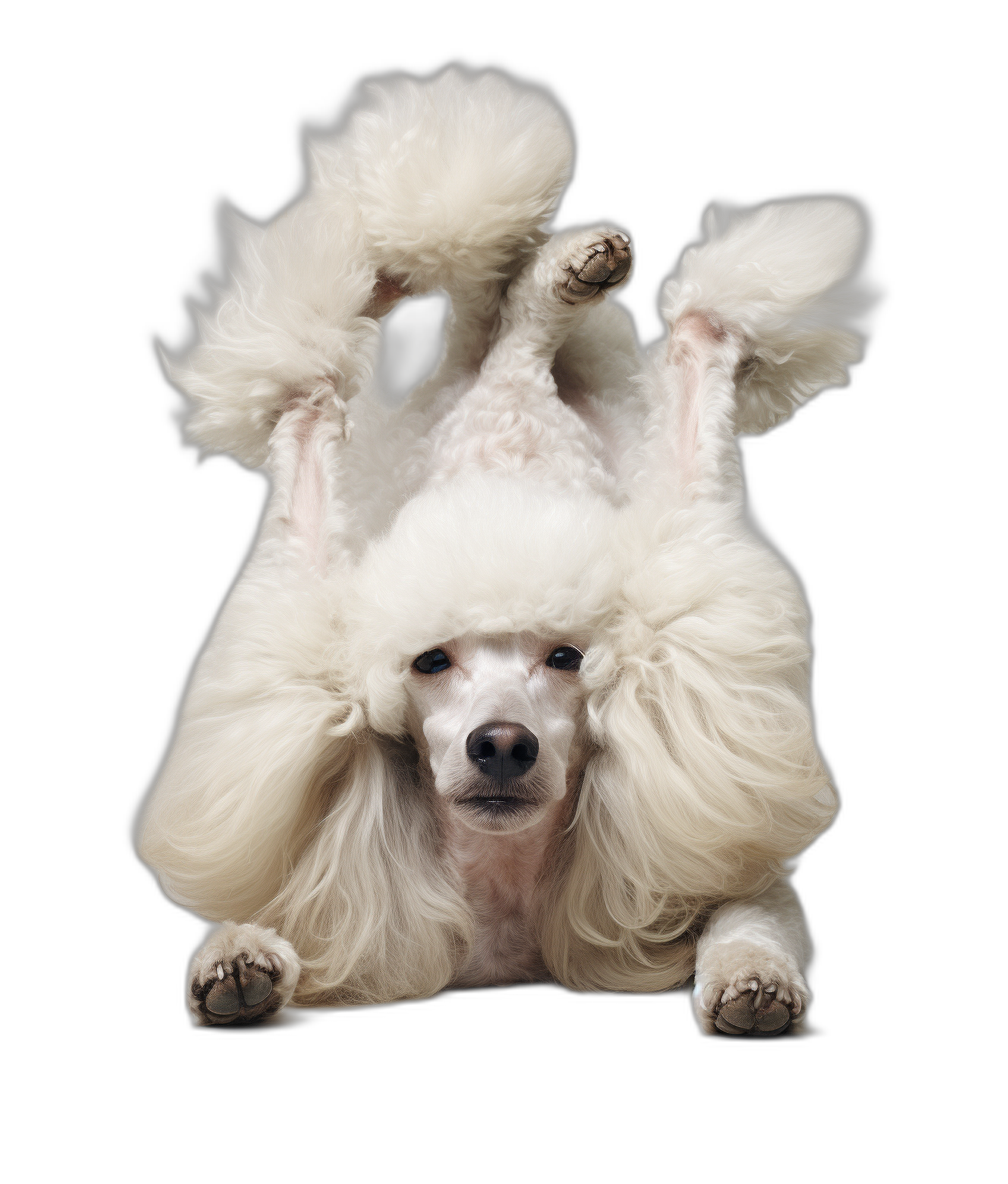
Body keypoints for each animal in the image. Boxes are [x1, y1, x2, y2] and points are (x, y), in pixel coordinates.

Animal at [133, 64, 871, 1032]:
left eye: (567, 659)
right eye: (429, 663)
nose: (502, 746)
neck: (500, 880)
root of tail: (498, 399)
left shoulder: (722, 862)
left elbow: (748, 913)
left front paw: (754, 979)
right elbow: (250, 916)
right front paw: (240, 962)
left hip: (654, 470)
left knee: (616, 360)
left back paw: (590, 286)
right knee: (357, 389)